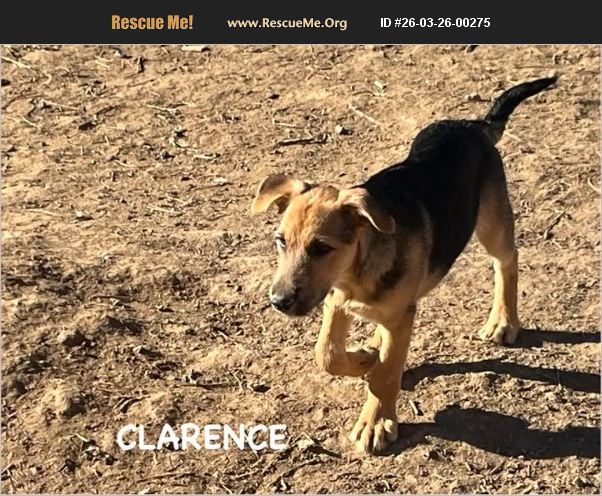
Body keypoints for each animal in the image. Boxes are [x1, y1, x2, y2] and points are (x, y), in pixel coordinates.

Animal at [251, 76, 557, 453]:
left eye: (322, 247)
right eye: (281, 241)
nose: (278, 302)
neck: (355, 273)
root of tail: (475, 126)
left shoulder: (392, 313)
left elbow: (384, 375)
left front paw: (375, 423)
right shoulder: (335, 301)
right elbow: (327, 353)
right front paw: (364, 357)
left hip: (492, 223)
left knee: (507, 261)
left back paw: (503, 321)